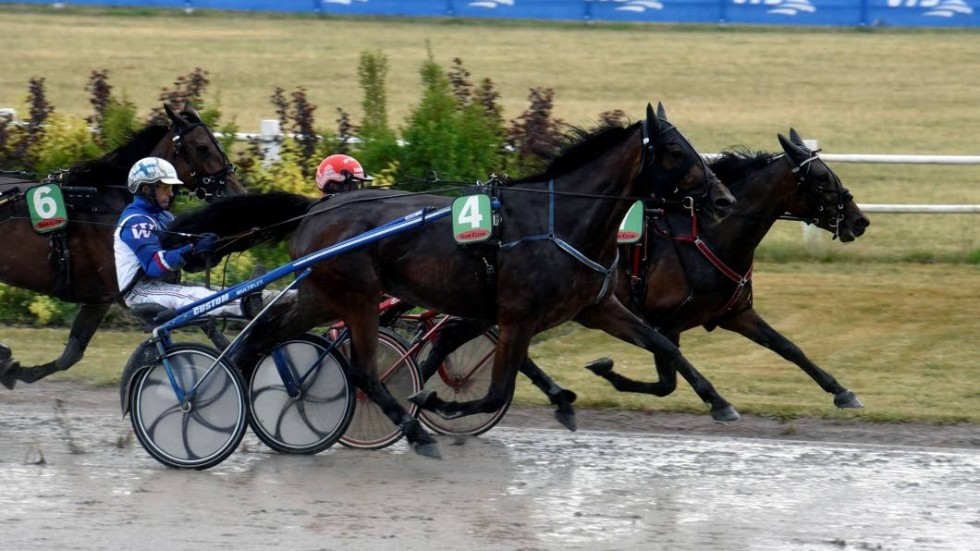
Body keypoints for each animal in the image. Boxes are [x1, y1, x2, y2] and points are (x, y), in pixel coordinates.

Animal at [0, 102, 243, 388]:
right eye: (203, 147)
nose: (236, 192)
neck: (106, 202)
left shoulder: (99, 299)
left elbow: (71, 353)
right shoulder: (122, 289)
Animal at [167, 103, 736, 458]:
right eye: (677, 152)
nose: (724, 198)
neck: (556, 221)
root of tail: (316, 209)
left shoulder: (594, 305)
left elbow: (664, 342)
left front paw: (720, 403)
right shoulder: (516, 316)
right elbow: (495, 387)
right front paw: (439, 403)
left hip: (320, 295)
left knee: (260, 340)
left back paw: (213, 406)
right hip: (357, 296)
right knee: (361, 370)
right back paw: (415, 433)